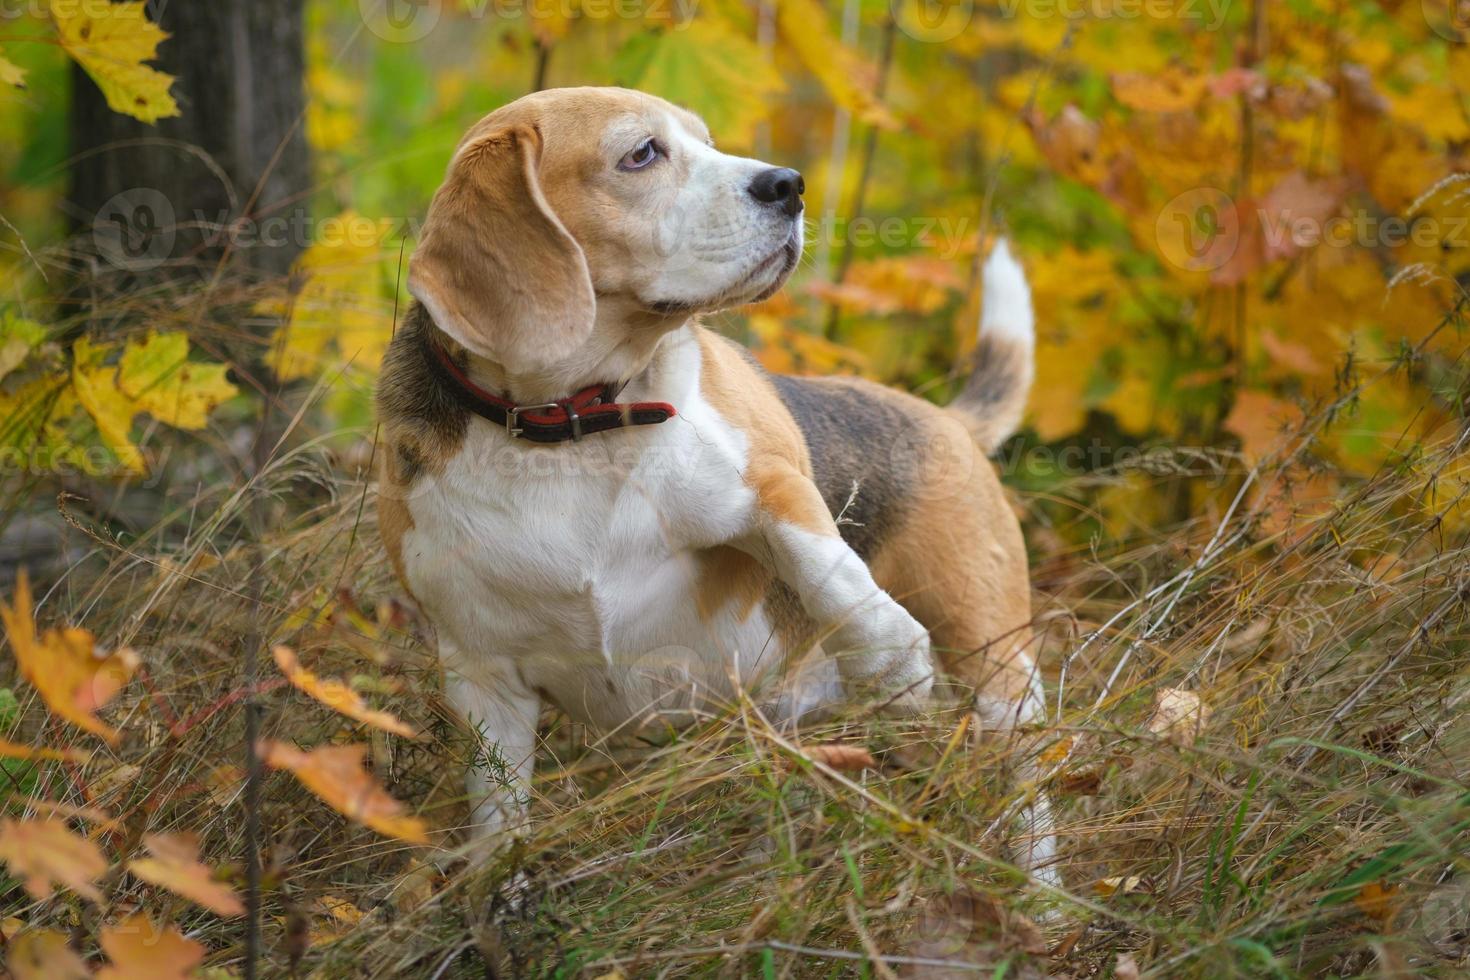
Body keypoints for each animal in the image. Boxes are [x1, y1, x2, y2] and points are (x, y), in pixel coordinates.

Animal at [373, 86, 1052, 881]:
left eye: (708, 140)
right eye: (642, 153)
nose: (788, 185)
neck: (577, 425)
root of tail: (944, 418)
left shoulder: (769, 482)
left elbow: (828, 570)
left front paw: (892, 662)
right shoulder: (481, 676)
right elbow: (499, 819)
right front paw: (500, 898)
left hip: (992, 657)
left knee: (1030, 783)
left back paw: (1041, 890)